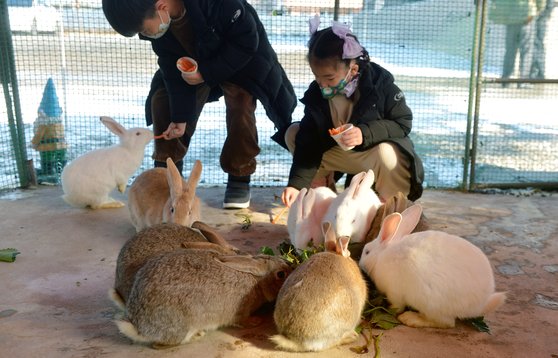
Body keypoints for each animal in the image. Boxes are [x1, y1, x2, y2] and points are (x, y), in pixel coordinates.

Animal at [111, 250, 290, 348]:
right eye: (281, 274)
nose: (293, 267)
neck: (257, 281)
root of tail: (138, 327)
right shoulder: (241, 311)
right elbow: (241, 320)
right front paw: (256, 321)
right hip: (181, 325)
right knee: (160, 345)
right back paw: (197, 335)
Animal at [360, 204, 510, 328]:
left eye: (366, 251)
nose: (360, 264)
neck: (381, 256)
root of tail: (479, 305)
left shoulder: (394, 293)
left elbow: (397, 306)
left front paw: (390, 309)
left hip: (430, 304)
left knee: (446, 323)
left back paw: (411, 319)